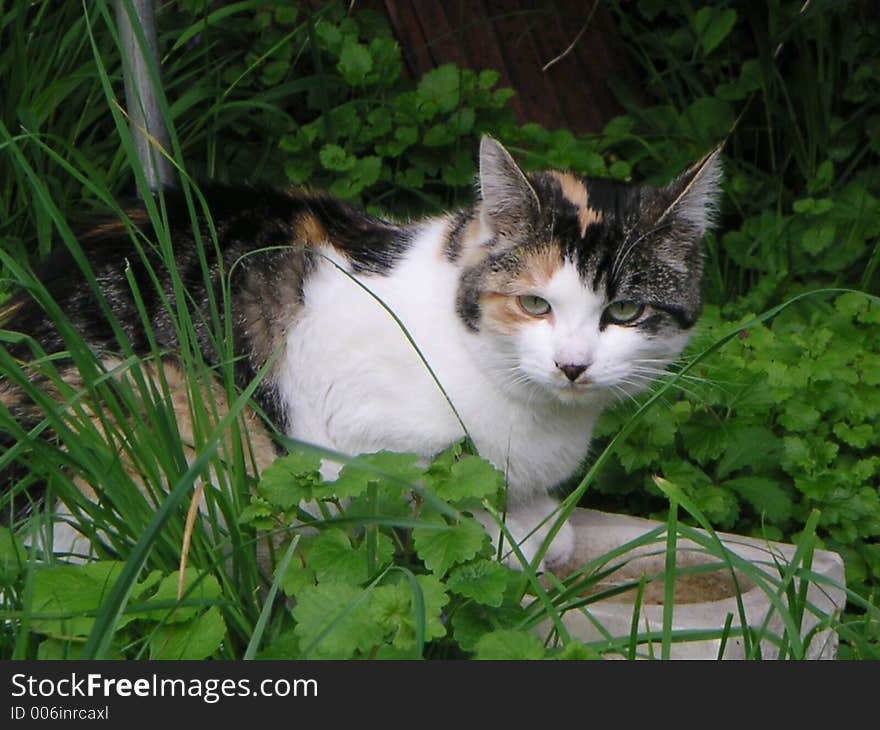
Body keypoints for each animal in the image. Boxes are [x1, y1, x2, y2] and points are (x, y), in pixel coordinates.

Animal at [0, 136, 720, 568]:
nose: (573, 365)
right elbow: (424, 504)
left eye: (623, 312)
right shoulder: (354, 435)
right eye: (535, 304)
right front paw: (513, 536)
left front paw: (536, 520)